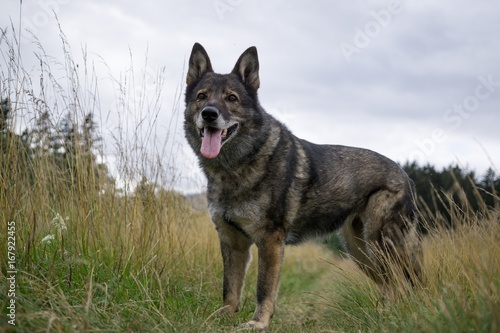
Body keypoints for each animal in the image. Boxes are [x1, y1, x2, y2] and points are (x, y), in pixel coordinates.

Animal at [184, 42, 422, 330]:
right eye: (202, 96)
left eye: (231, 98)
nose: (209, 114)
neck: (236, 166)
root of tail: (404, 174)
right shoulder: (233, 243)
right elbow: (230, 289)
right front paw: (221, 319)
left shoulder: (270, 241)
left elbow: (264, 288)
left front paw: (259, 323)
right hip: (359, 251)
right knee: (389, 284)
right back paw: (383, 316)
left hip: (381, 244)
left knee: (402, 285)